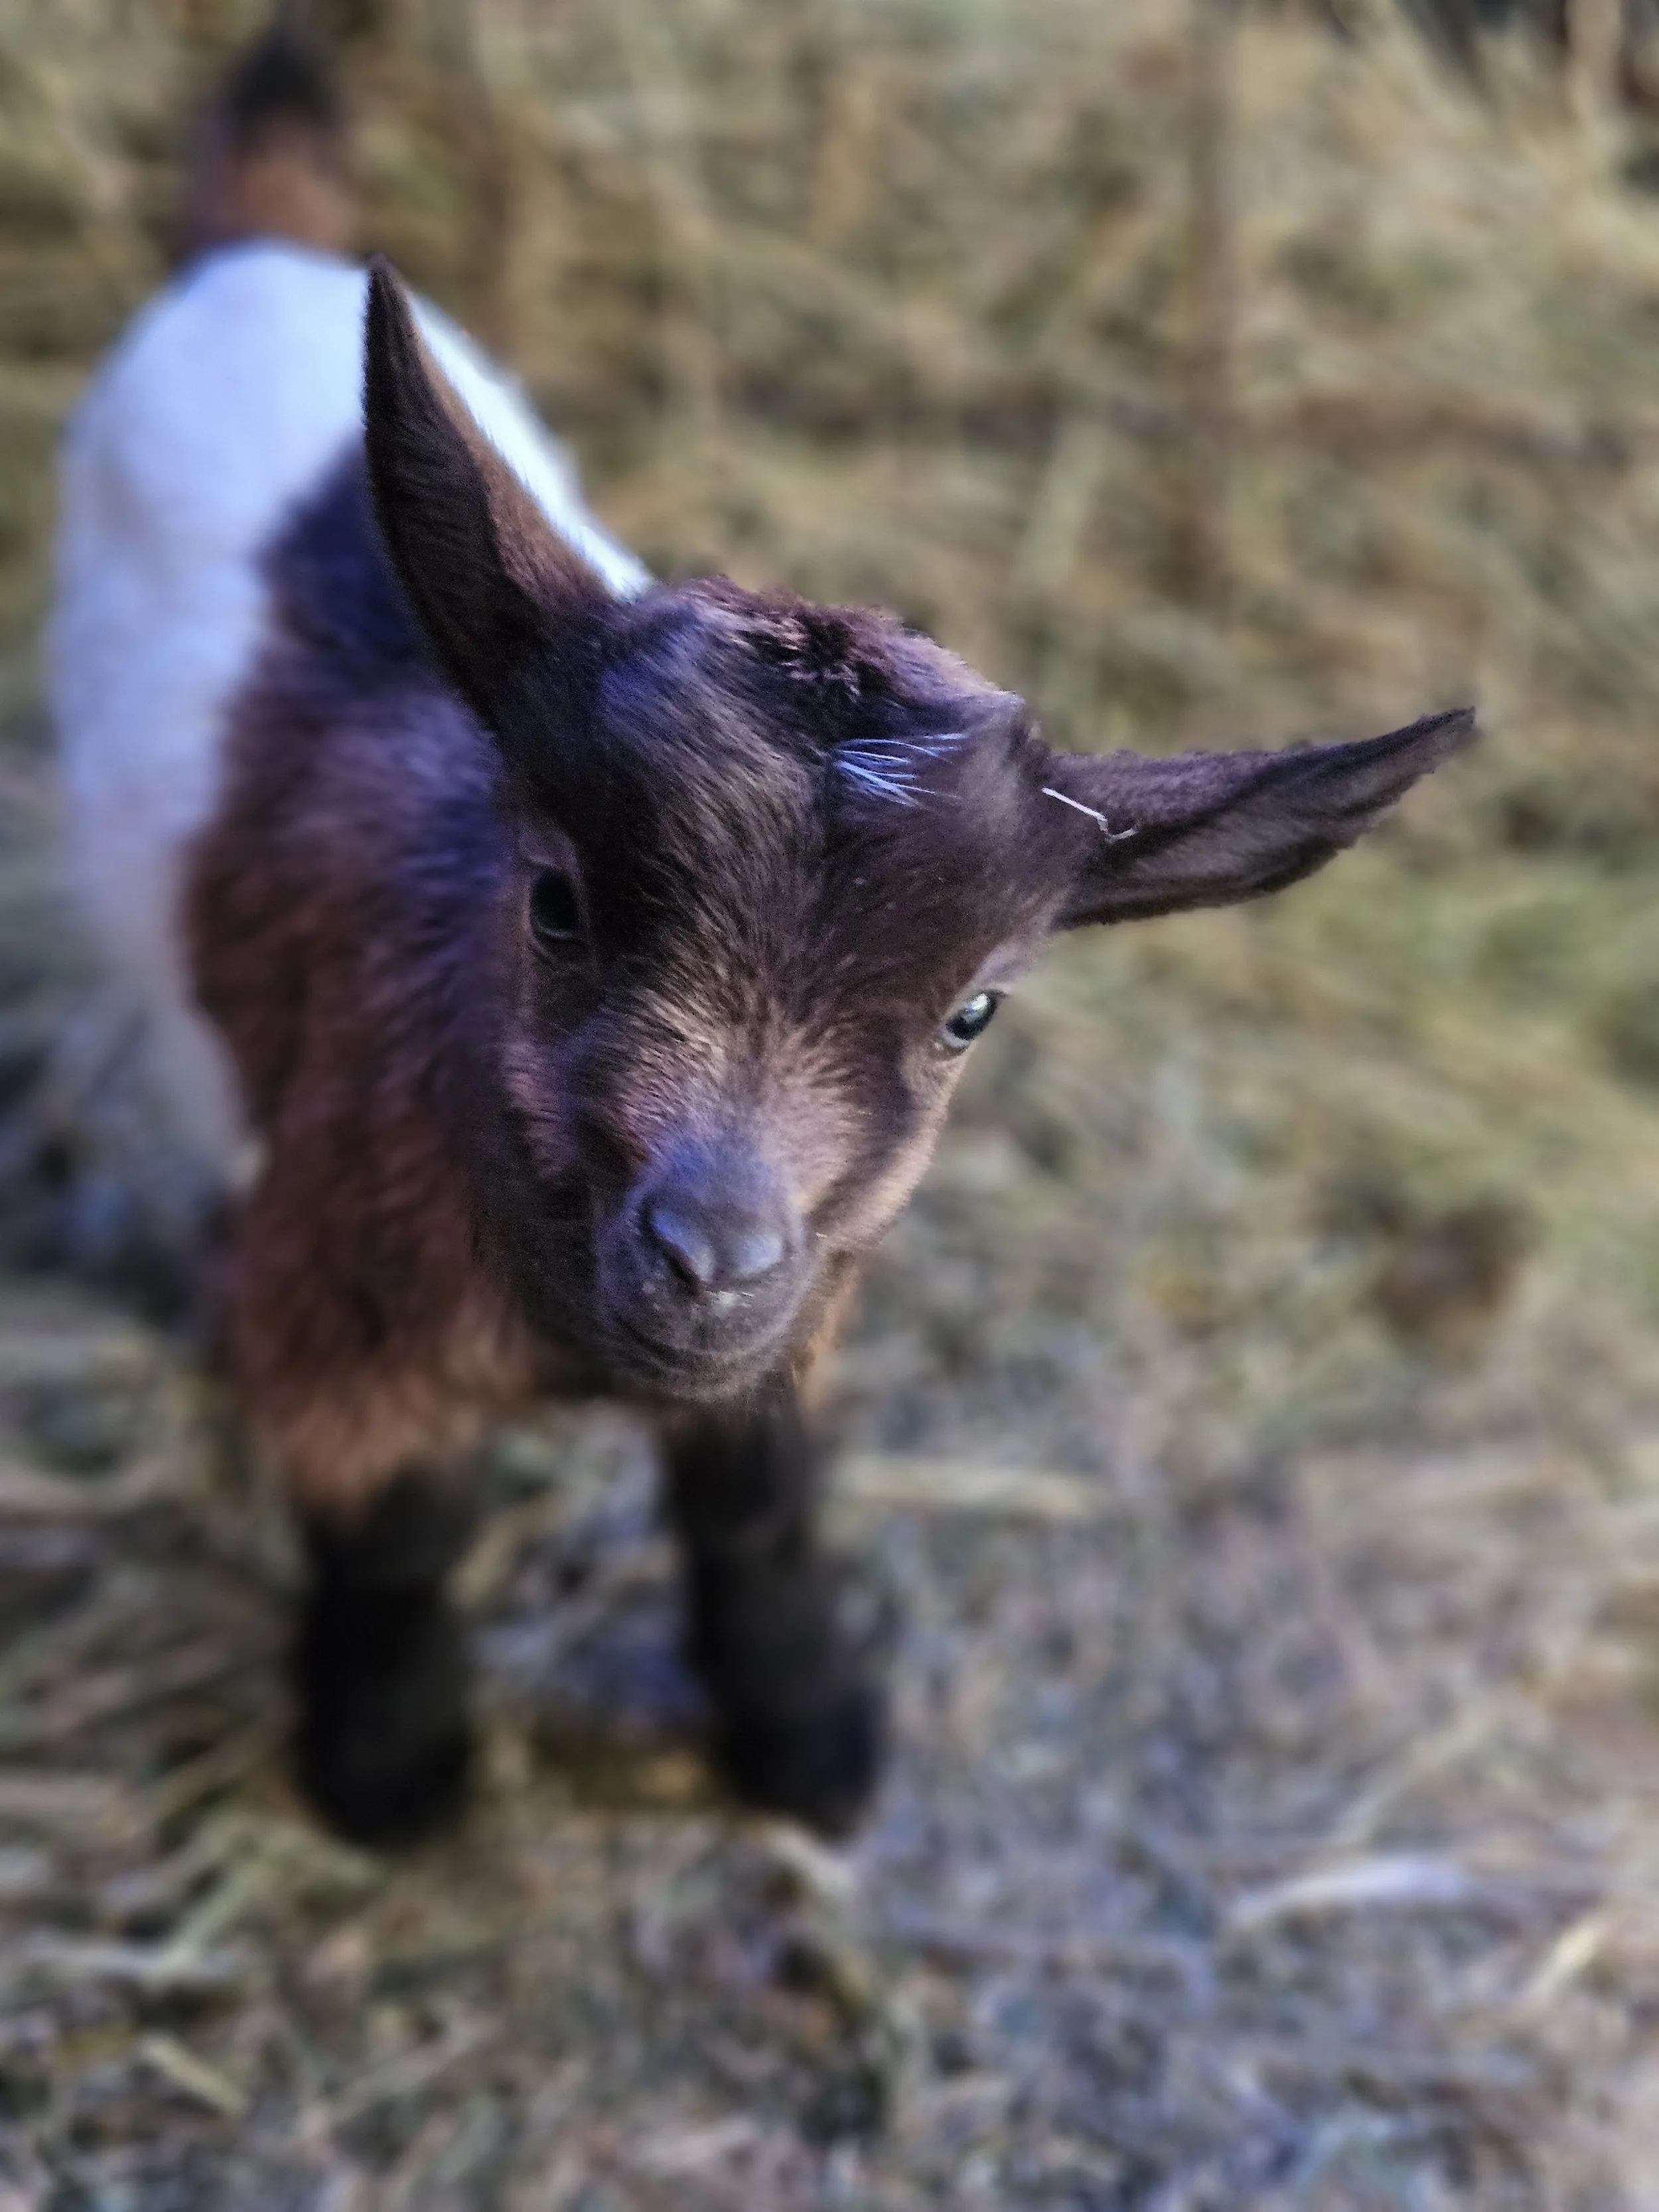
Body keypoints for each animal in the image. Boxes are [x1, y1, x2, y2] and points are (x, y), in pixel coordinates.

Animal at [52, 20, 1472, 1843]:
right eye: (558, 903)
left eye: (971, 1012)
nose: (708, 1257)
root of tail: (259, 250)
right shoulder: (348, 1288)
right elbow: (397, 1536)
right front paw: (393, 1778)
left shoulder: (790, 1333)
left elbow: (761, 1509)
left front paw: (809, 1743)